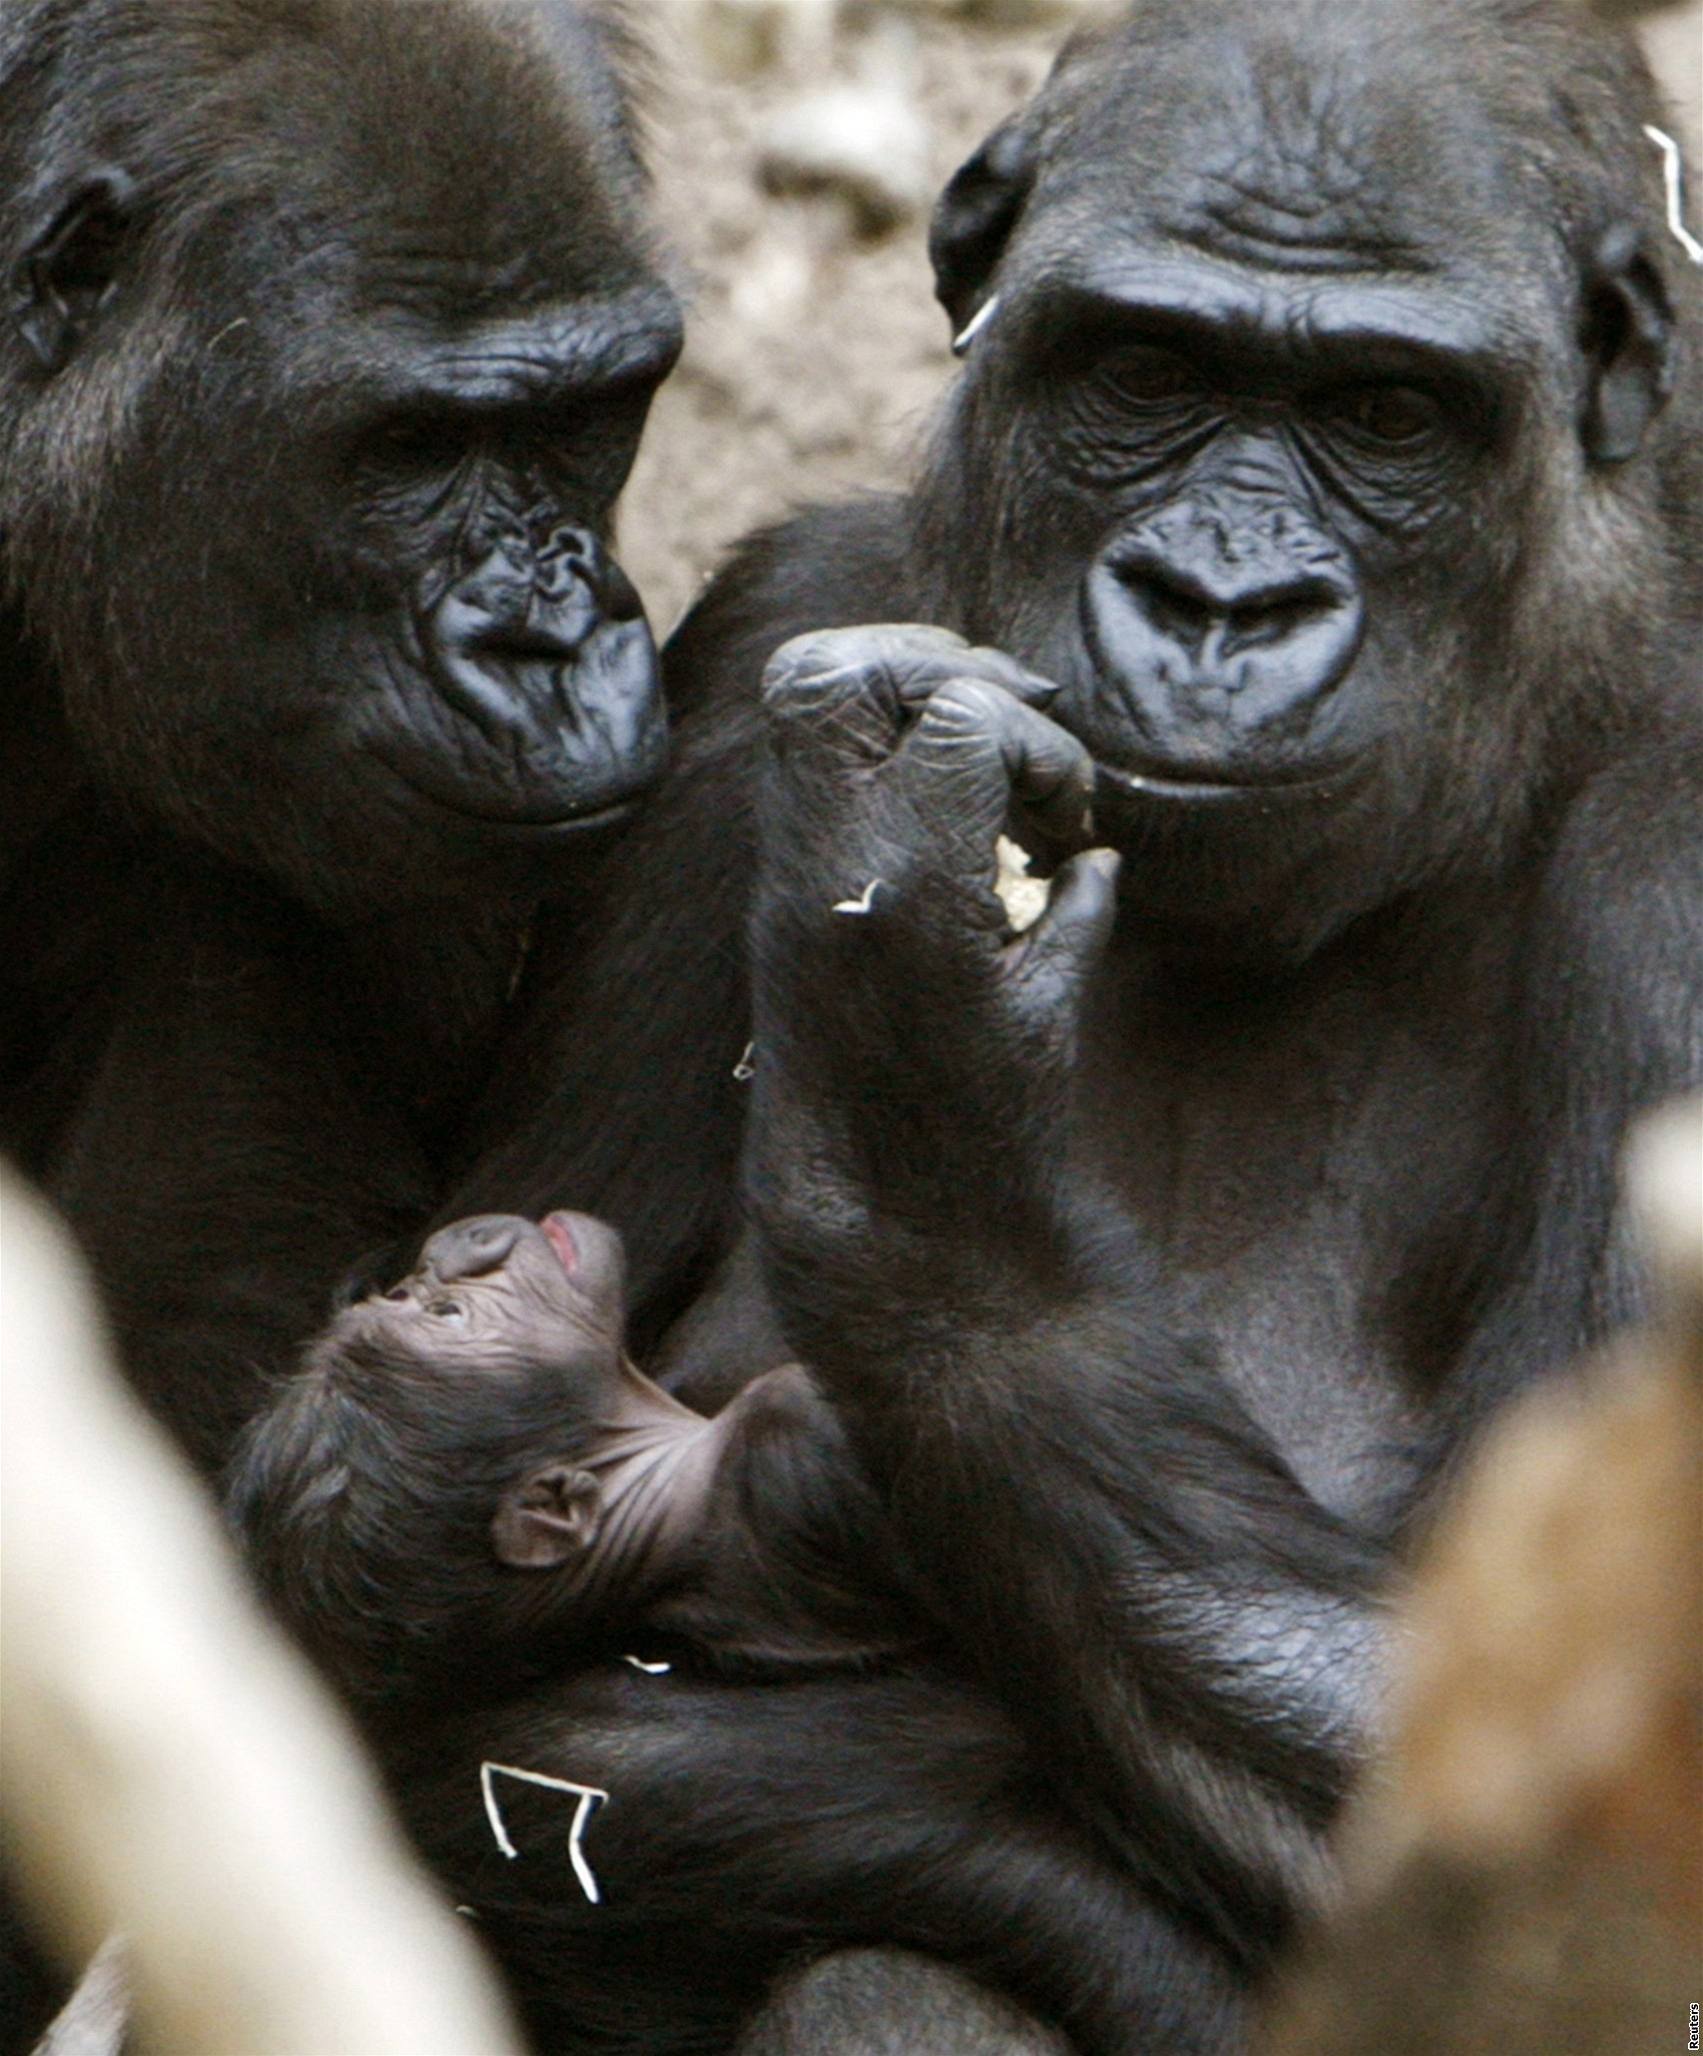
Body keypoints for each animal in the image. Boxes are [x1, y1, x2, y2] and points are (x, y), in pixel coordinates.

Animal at [448, 0, 1702, 2031]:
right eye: (1145, 370)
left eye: (1383, 414)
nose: (1214, 599)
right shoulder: (753, 644)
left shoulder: (1682, 838)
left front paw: (915, 1090)